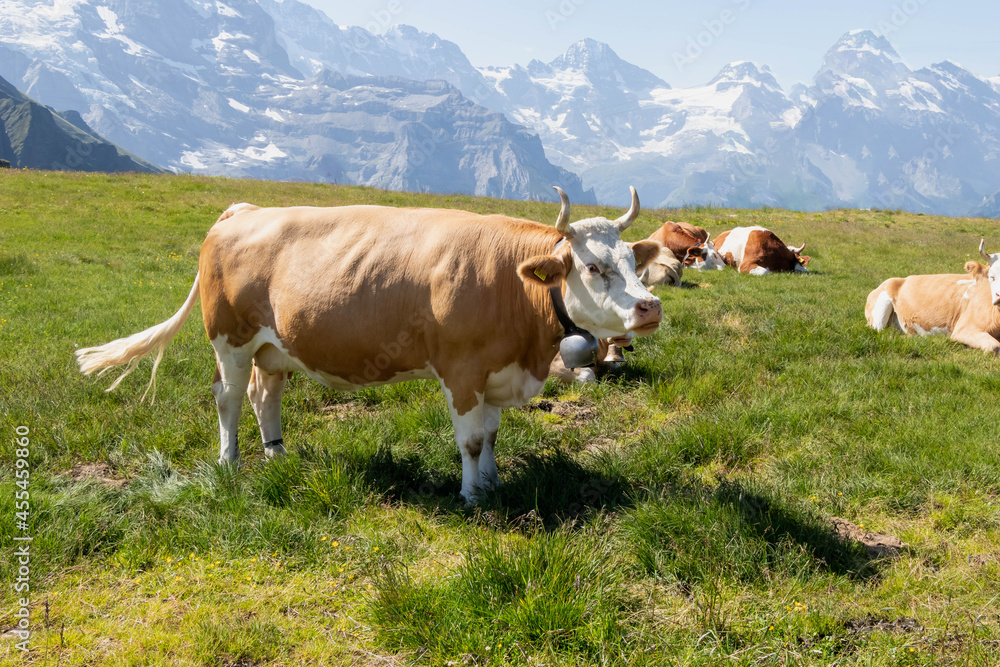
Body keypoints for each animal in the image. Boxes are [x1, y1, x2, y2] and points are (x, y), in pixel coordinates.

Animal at [75, 187, 663, 505]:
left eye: (632, 262)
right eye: (594, 267)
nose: (650, 306)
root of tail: (244, 209)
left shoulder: (495, 372)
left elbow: (493, 435)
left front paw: (494, 484)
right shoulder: (462, 371)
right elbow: (472, 441)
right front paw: (472, 495)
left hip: (275, 346)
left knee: (266, 396)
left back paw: (278, 455)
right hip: (230, 339)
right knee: (228, 397)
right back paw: (229, 462)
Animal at [865, 240, 1000, 354]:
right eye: (991, 277)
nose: (998, 295)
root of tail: (901, 279)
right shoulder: (963, 329)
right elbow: (995, 346)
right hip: (880, 311)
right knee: (881, 332)